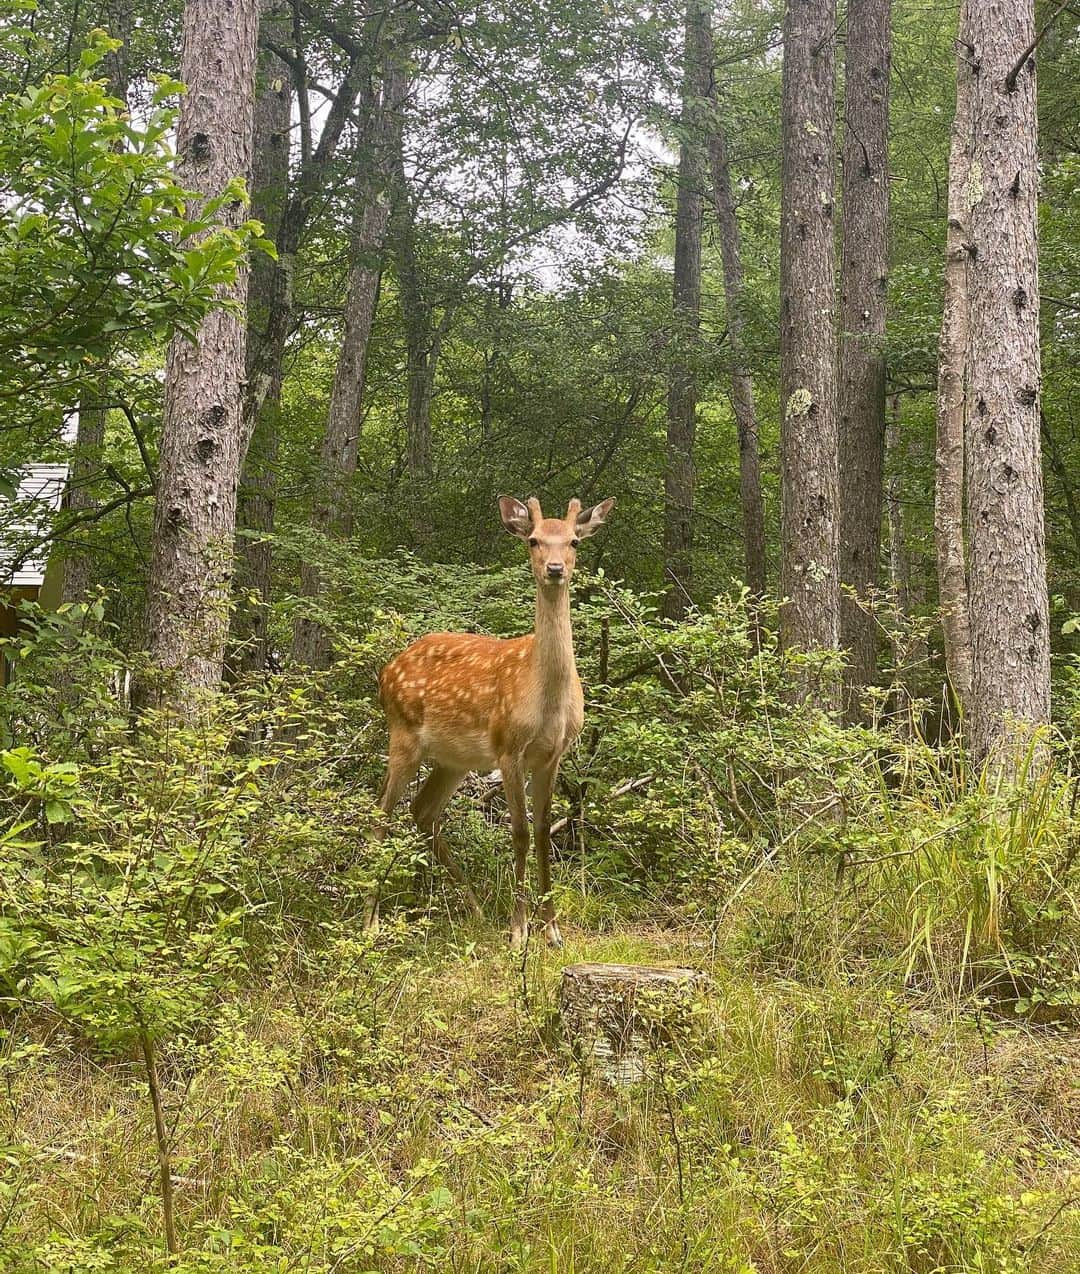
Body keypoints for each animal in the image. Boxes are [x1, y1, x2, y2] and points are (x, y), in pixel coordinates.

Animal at [366, 494, 611, 947]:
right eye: (533, 540)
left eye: (573, 541)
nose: (555, 569)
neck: (546, 699)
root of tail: (387, 670)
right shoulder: (508, 748)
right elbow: (519, 833)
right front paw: (519, 931)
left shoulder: (552, 755)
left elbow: (543, 831)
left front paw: (552, 930)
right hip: (403, 734)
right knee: (383, 814)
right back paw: (370, 922)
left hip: (454, 760)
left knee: (422, 811)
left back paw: (475, 909)